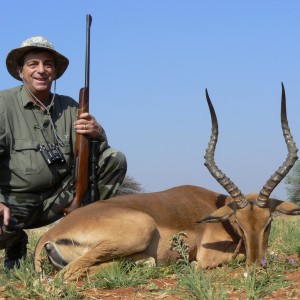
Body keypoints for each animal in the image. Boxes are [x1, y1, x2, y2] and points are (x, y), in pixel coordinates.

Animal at [34, 83, 300, 280]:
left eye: (268, 223)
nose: (256, 267)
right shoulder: (210, 256)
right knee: (68, 274)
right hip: (140, 230)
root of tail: (49, 236)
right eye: (239, 223)